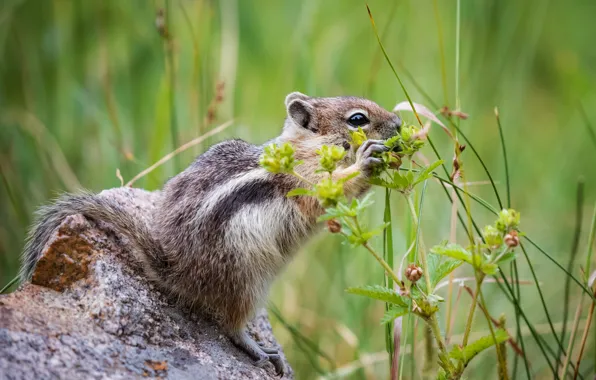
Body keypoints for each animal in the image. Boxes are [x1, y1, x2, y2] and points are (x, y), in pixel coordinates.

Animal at [19, 91, 400, 374]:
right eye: (357, 119)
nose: (398, 123)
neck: (308, 147)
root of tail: (176, 269)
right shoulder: (304, 180)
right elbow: (327, 191)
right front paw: (366, 161)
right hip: (246, 281)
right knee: (231, 325)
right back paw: (262, 351)